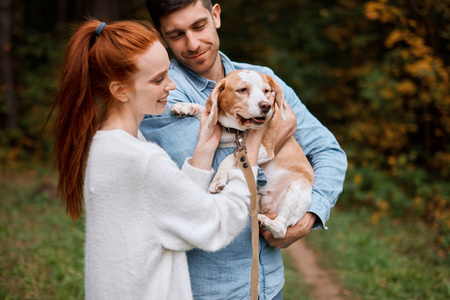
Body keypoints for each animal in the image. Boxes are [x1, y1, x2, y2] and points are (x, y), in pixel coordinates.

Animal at [171, 69, 314, 239]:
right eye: (243, 90)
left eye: (266, 91)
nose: (266, 105)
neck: (238, 130)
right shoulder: (224, 133)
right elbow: (205, 111)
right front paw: (184, 107)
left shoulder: (265, 149)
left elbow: (228, 158)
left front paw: (218, 179)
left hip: (295, 191)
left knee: (281, 229)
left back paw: (265, 221)